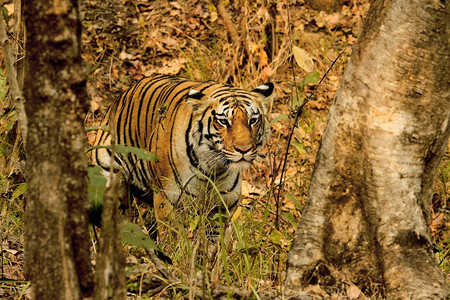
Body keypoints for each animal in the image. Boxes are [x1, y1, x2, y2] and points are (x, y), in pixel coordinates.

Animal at [92, 75, 274, 230]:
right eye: (223, 121)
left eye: (253, 120)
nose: (244, 149)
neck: (214, 170)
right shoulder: (167, 201)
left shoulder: (222, 208)